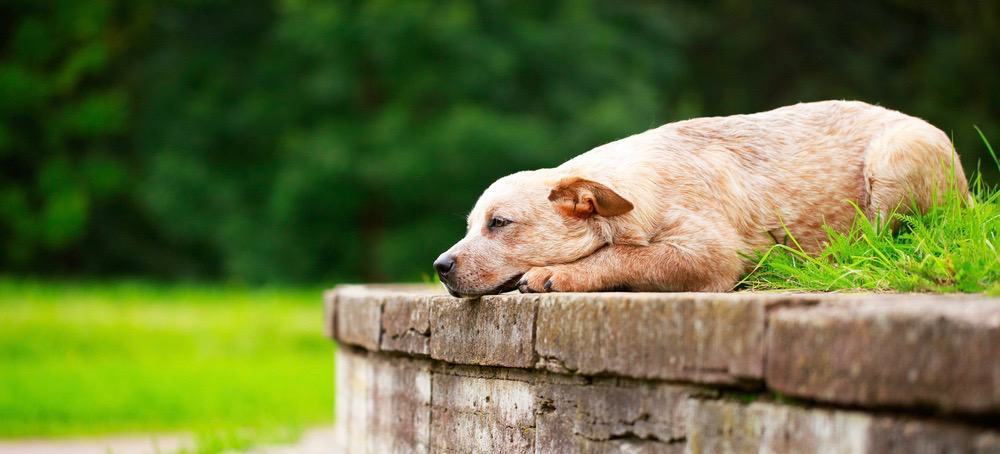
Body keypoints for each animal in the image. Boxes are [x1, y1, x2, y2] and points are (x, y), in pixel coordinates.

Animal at [434, 100, 964, 296]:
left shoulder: (710, 255)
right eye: (469, 225)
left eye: (499, 223)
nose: (440, 266)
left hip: (894, 157)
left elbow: (625, 256)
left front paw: (557, 274)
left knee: (885, 241)